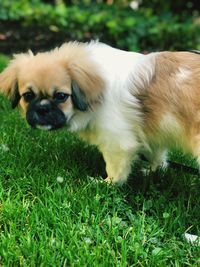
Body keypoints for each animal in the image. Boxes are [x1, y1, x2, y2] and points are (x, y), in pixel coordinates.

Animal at [0, 41, 200, 184]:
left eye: (61, 96)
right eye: (27, 96)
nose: (42, 108)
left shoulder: (117, 142)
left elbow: (115, 169)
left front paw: (106, 183)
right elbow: (156, 154)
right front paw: (154, 171)